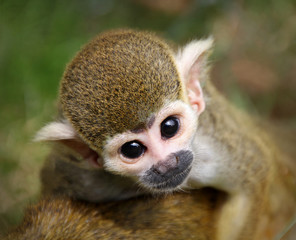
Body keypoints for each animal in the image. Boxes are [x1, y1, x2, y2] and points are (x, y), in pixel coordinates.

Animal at [35, 29, 296, 239]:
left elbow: (253, 176)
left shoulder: (211, 147)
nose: (167, 164)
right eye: (132, 149)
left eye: (169, 127)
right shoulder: (85, 178)